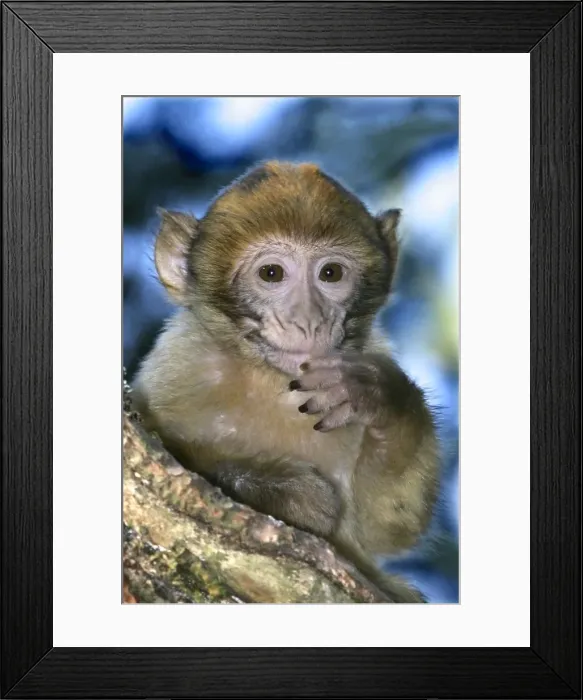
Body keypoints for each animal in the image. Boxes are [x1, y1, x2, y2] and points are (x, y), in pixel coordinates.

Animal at [132, 161, 440, 603]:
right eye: (271, 273)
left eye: (331, 273)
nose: (309, 320)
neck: (273, 381)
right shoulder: (179, 364)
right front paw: (285, 492)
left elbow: (388, 526)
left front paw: (381, 397)